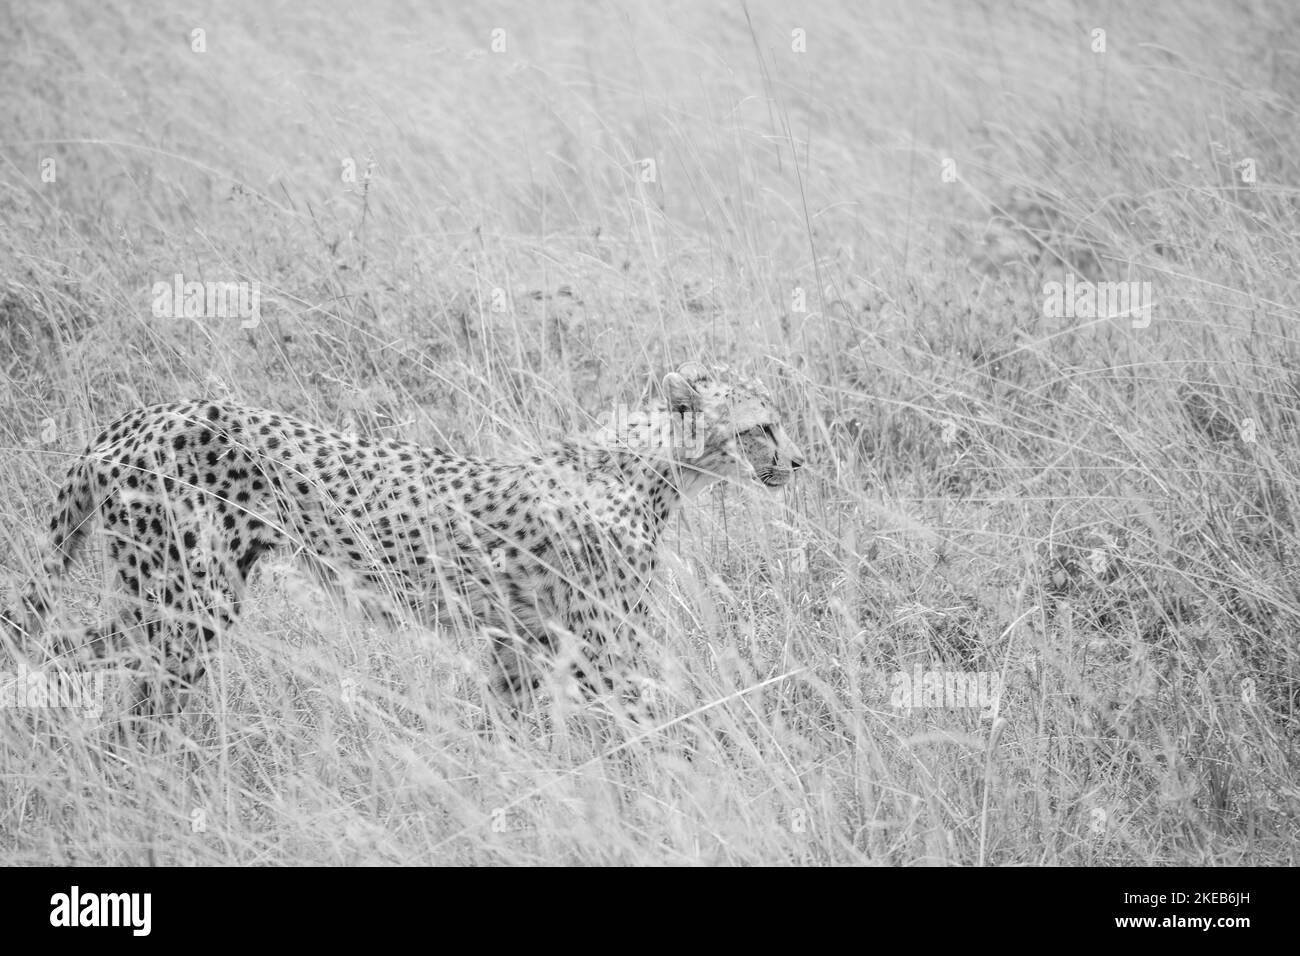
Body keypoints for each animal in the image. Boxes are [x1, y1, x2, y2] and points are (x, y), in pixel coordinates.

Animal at [5, 364, 800, 717]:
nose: (798, 461)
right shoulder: (600, 653)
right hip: (187, 604)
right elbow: (652, 724)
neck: (656, 465)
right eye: (761, 426)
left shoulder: (518, 642)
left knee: (63, 649)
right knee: (130, 694)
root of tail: (140, 415)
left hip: (162, 601)